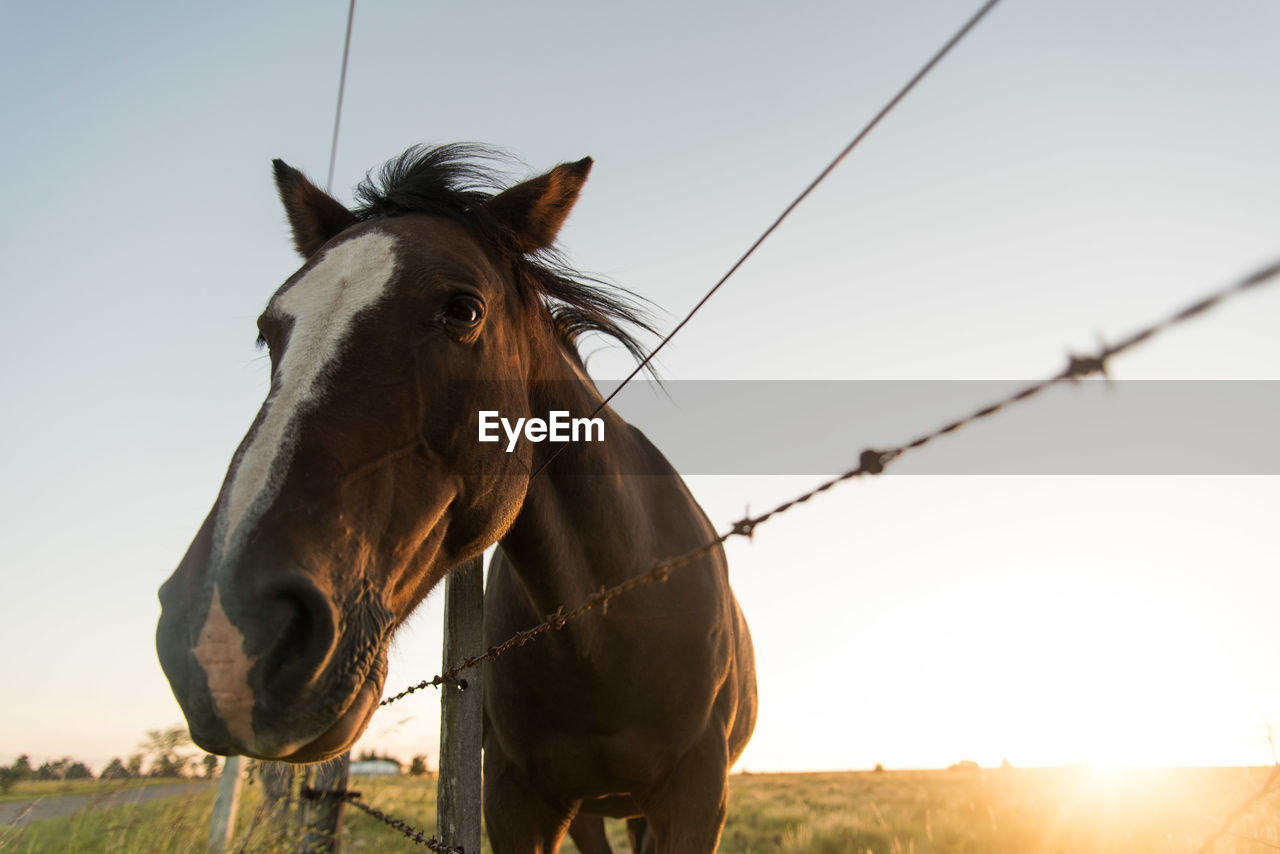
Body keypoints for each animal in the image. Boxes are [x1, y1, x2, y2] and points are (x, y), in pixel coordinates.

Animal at [160, 143, 757, 850]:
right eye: (268, 330)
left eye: (464, 310)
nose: (221, 640)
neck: (609, 627)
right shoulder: (515, 798)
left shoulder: (697, 797)